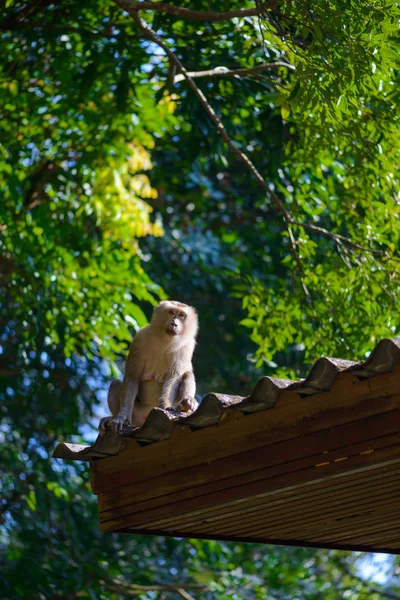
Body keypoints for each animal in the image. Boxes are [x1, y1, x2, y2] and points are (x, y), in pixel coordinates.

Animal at [98, 300, 198, 436]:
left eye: (181, 315)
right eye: (171, 312)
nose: (174, 323)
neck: (165, 340)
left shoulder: (186, 346)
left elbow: (174, 377)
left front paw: (165, 407)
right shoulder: (140, 338)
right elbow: (132, 376)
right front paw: (121, 417)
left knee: (187, 374)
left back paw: (186, 405)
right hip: (136, 414)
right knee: (115, 384)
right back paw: (112, 417)